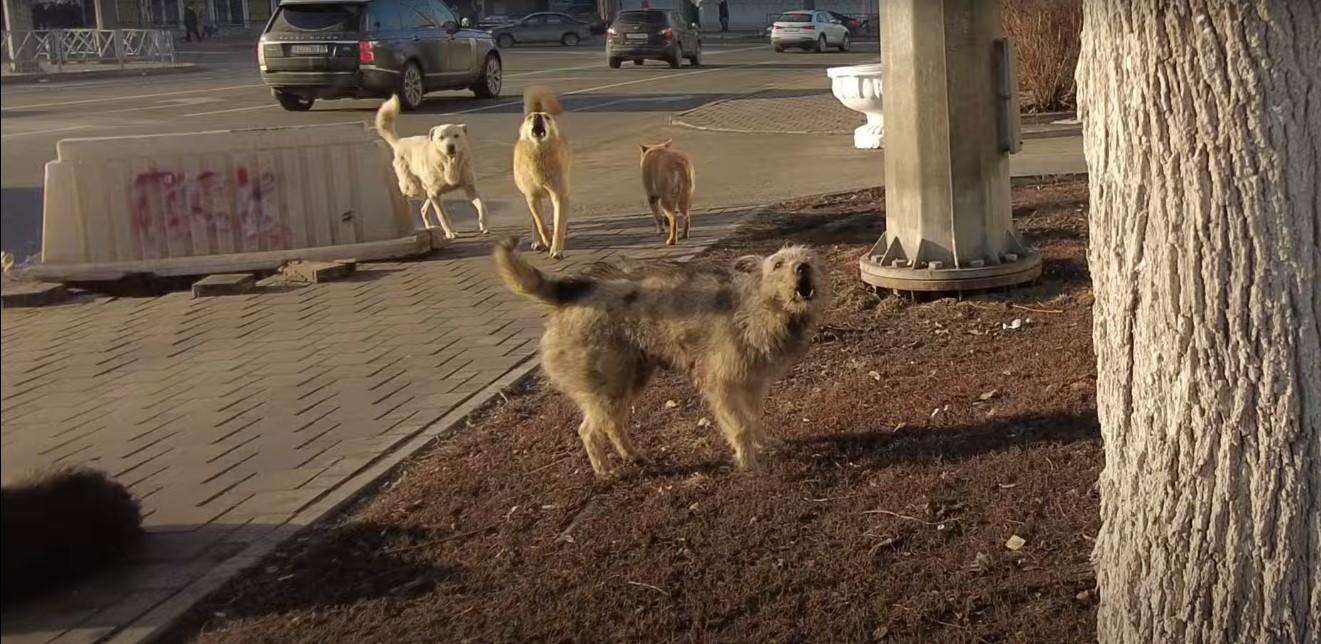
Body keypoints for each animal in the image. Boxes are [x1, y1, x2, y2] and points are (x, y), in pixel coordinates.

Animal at [375, 94, 488, 237]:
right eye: (441, 137)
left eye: (456, 135)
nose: (450, 146)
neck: (449, 164)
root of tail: (399, 141)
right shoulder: (435, 194)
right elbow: (442, 216)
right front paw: (450, 233)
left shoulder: (469, 188)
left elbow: (482, 206)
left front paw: (483, 224)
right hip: (414, 188)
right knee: (405, 189)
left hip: (427, 192)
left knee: (423, 210)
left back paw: (429, 227)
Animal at [491, 238, 829, 475]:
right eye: (778, 264)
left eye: (806, 259)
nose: (803, 268)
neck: (760, 306)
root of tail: (572, 291)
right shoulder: (722, 385)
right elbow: (739, 425)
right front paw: (749, 464)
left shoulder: (754, 383)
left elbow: (754, 418)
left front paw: (765, 443)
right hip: (608, 385)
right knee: (588, 430)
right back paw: (604, 470)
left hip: (631, 379)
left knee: (613, 423)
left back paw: (632, 455)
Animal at [509, 87, 568, 258]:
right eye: (530, 118)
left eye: (547, 117)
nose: (537, 116)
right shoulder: (532, 197)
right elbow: (540, 223)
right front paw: (546, 239)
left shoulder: (559, 195)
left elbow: (558, 226)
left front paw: (556, 250)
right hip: (529, 198)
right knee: (535, 220)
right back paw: (538, 241)